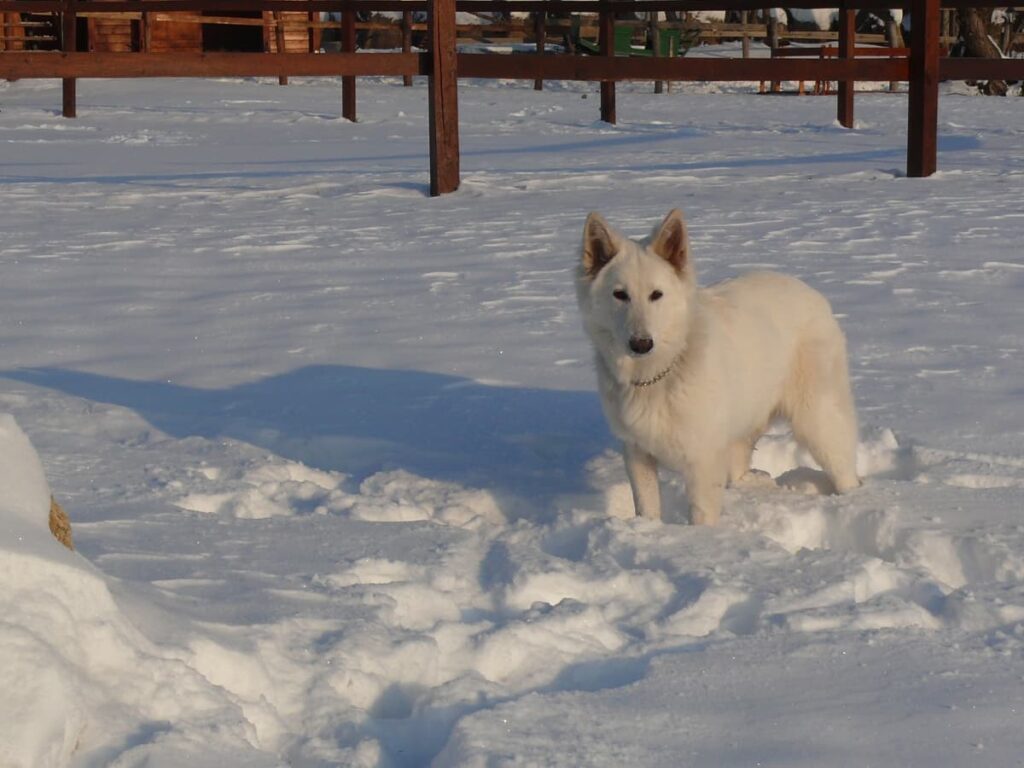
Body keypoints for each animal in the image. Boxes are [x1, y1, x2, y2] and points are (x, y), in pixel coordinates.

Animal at [581, 207, 860, 528]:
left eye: (656, 295)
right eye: (620, 295)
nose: (641, 344)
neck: (659, 373)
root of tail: (813, 293)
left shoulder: (702, 461)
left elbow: (702, 514)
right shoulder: (637, 453)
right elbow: (646, 506)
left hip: (817, 420)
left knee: (843, 467)